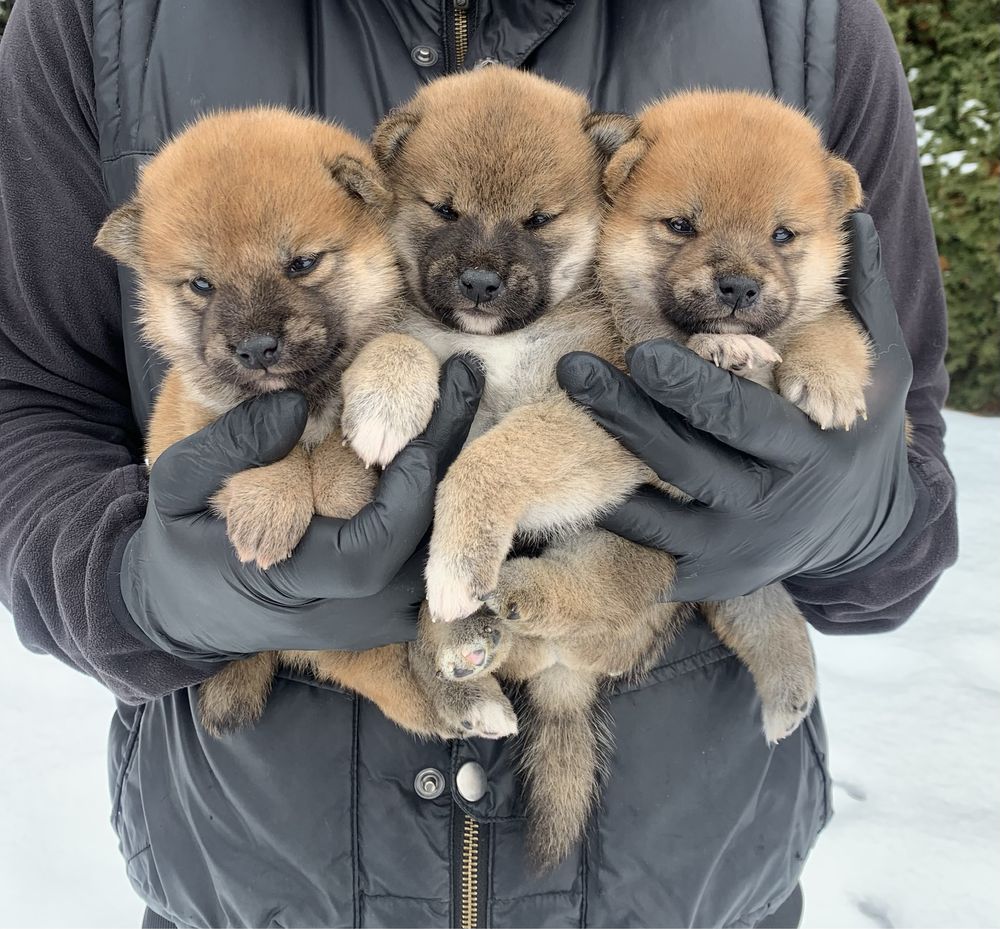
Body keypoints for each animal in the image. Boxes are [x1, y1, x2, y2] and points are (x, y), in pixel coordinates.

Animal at [95, 109, 516, 744]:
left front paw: (342, 480)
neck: (308, 399)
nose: (255, 347)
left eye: (301, 263)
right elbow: (254, 433)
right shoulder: (193, 412)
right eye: (201, 284)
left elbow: (356, 422)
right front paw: (270, 503)